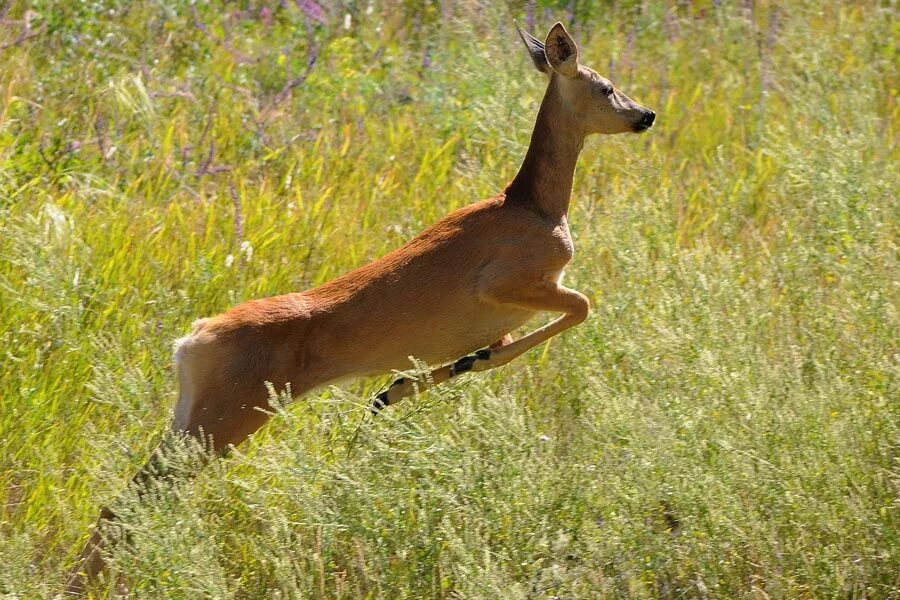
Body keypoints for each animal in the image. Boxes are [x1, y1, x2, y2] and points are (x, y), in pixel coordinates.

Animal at [65, 21, 652, 592]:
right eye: (604, 86)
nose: (644, 115)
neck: (533, 206)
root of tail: (193, 337)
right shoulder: (511, 286)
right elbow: (578, 308)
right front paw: (418, 381)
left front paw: (400, 388)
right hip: (223, 425)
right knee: (128, 505)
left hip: (191, 422)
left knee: (125, 503)